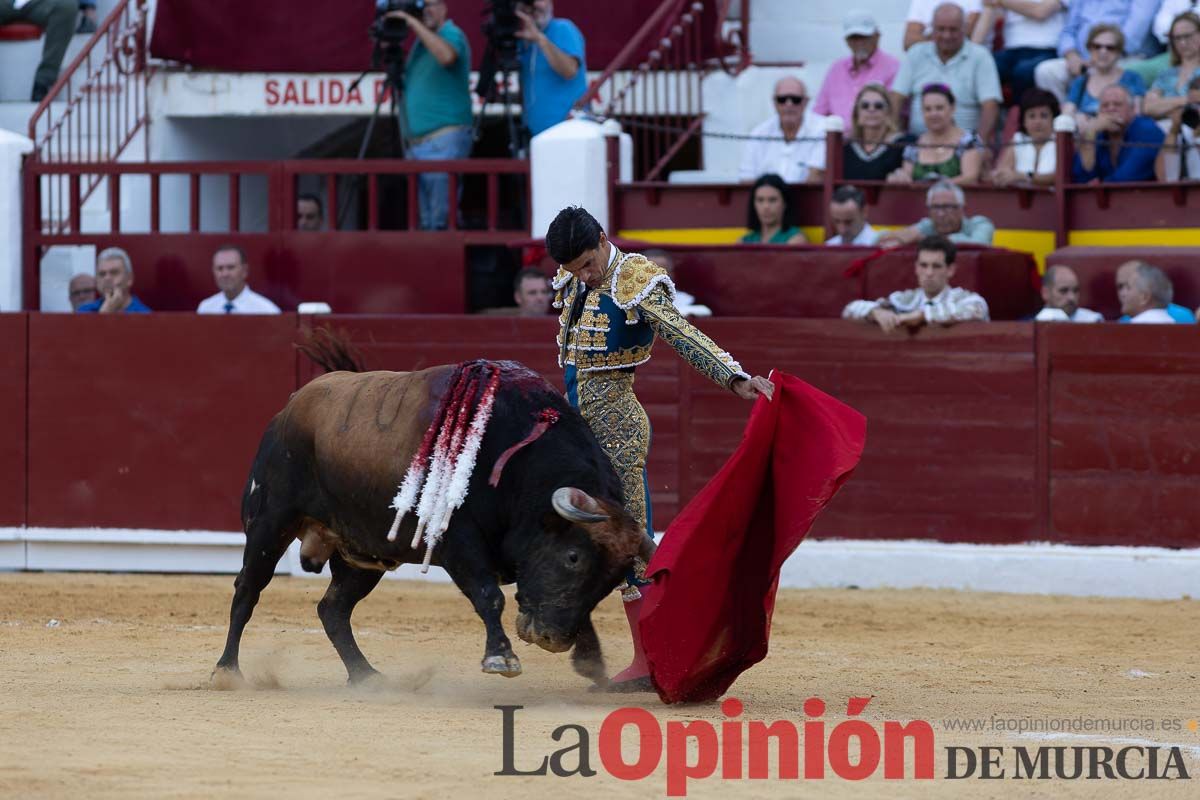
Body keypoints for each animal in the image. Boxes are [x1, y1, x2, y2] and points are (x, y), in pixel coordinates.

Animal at [211, 340, 652, 686]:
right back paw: (227, 671)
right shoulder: (458, 541)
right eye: (573, 557)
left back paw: (367, 676)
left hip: (363, 553)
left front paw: (591, 661)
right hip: (270, 523)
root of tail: (290, 407)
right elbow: (489, 595)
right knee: (248, 589)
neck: (519, 462)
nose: (552, 639)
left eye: (612, 579)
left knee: (332, 609)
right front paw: (501, 658)